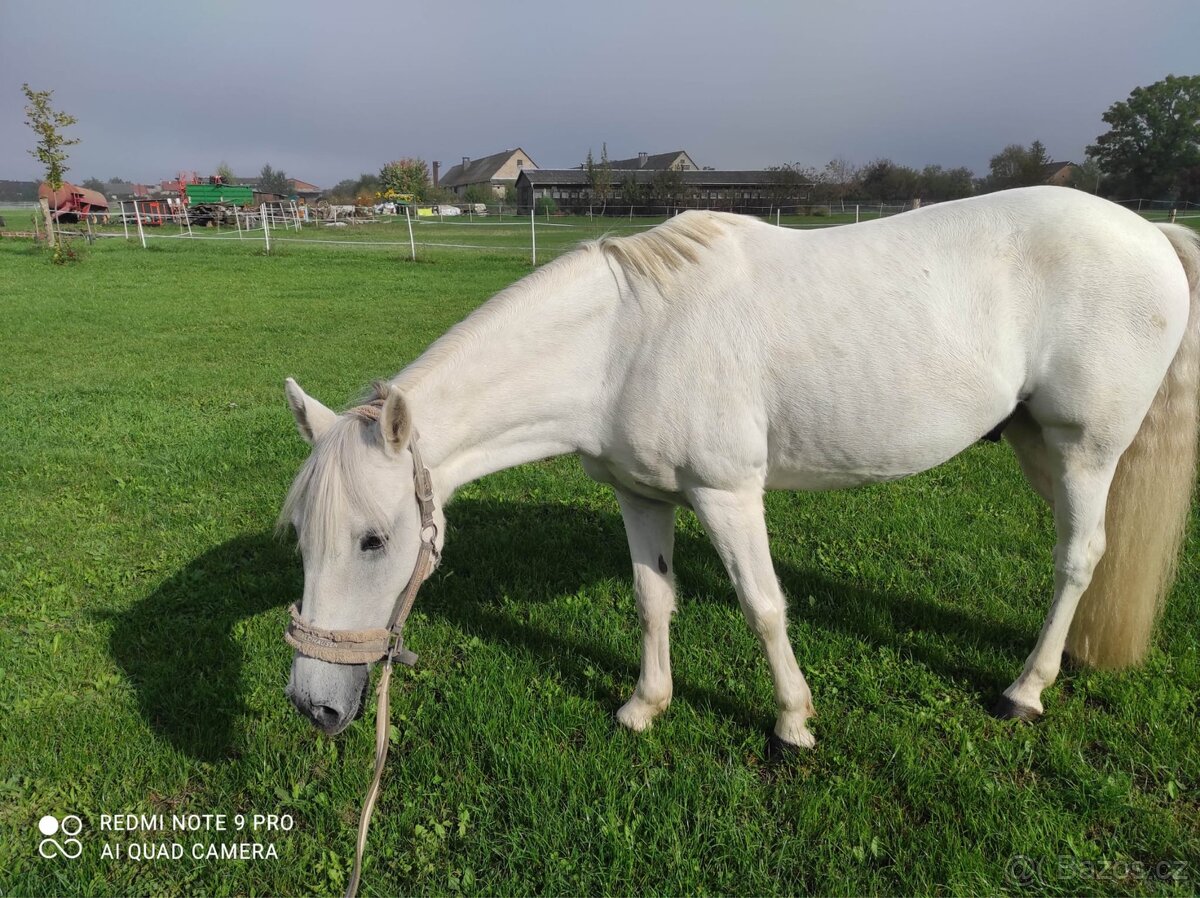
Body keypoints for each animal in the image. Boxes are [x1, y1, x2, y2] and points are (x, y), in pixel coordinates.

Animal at [280, 186, 1199, 753]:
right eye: (299, 540)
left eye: (373, 540)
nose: (313, 705)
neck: (622, 340)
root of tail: (1151, 232)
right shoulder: (642, 496)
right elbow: (653, 599)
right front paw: (644, 706)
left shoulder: (726, 495)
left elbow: (763, 607)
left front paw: (792, 724)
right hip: (1037, 443)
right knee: (1089, 552)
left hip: (1085, 447)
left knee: (1079, 556)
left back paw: (1024, 690)